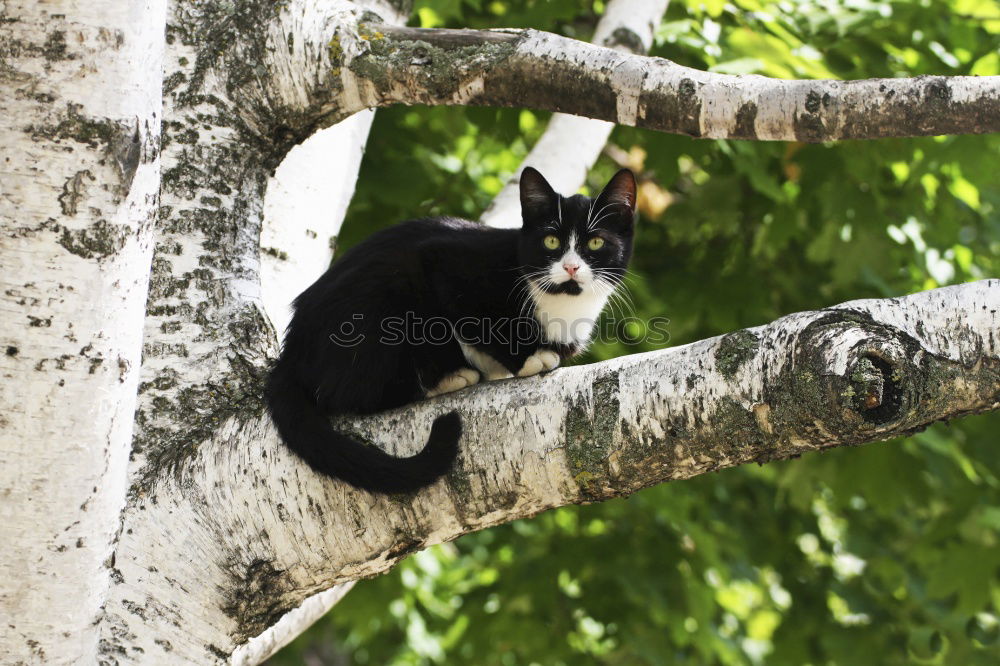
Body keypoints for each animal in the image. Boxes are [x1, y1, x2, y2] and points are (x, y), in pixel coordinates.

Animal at [266, 169, 636, 492]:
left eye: (596, 243)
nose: (571, 267)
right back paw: (442, 379)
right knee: (347, 392)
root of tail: (291, 354)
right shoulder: (446, 262)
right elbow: (480, 321)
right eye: (551, 240)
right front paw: (526, 358)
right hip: (387, 294)